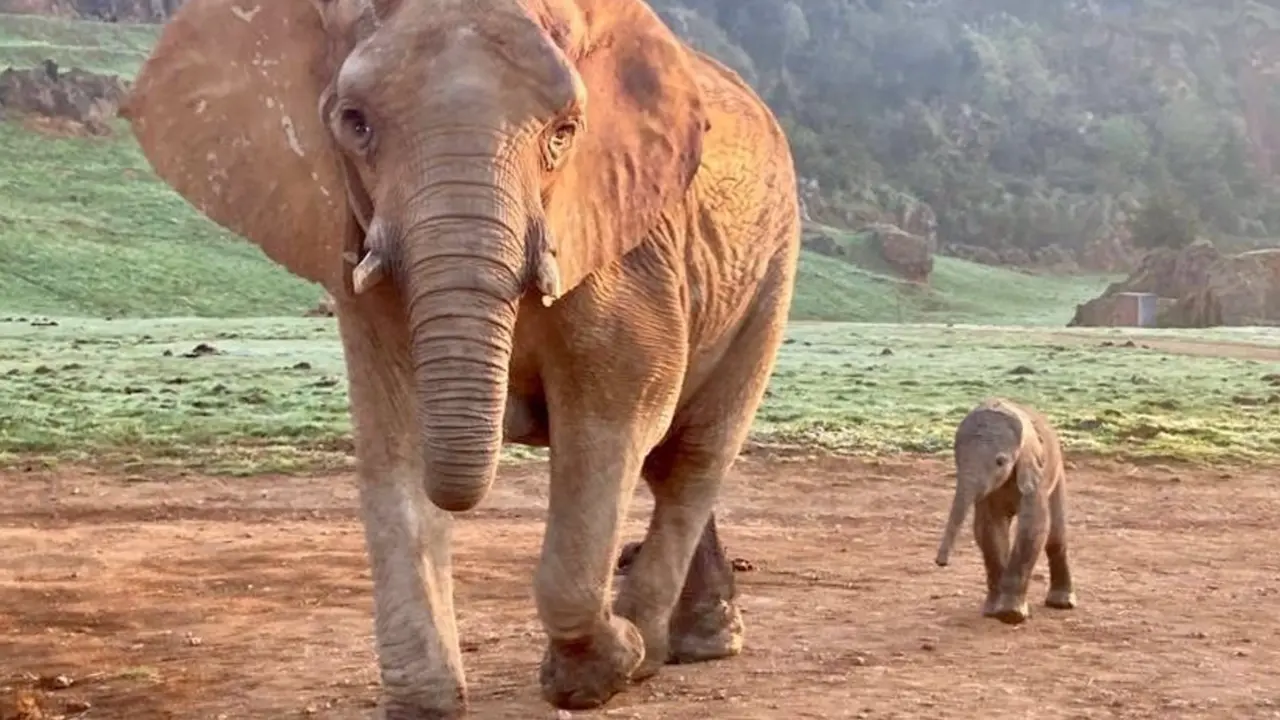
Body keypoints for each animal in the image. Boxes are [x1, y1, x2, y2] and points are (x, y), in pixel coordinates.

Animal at [119, 0, 800, 715]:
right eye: (354, 123)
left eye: (565, 133)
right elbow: (394, 435)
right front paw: (428, 705)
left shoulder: (625, 244)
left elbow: (615, 416)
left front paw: (601, 672)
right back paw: (686, 642)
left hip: (772, 267)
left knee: (691, 455)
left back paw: (661, 648)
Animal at [934, 398, 1077, 625]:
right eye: (957, 460)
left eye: (1000, 462)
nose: (941, 563)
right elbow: (988, 529)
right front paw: (994, 612)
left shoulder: (1035, 474)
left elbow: (1033, 525)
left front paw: (1011, 615)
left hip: (1058, 472)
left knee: (1055, 536)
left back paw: (1061, 603)